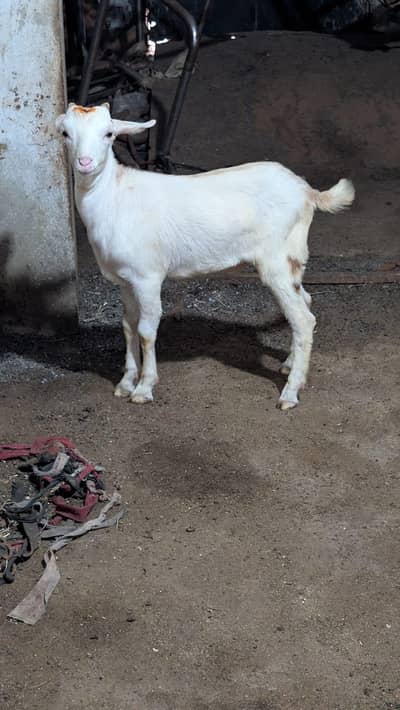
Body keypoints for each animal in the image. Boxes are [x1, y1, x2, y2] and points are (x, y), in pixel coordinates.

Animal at [56, 103, 355, 409]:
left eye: (109, 134)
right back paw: (289, 365)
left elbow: (146, 331)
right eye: (65, 133)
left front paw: (144, 388)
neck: (114, 197)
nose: (85, 163)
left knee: (303, 319)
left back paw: (290, 392)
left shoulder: (148, 275)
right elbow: (128, 326)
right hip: (293, 258)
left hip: (277, 258)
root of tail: (307, 192)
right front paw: (126, 382)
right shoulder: (124, 279)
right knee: (304, 302)